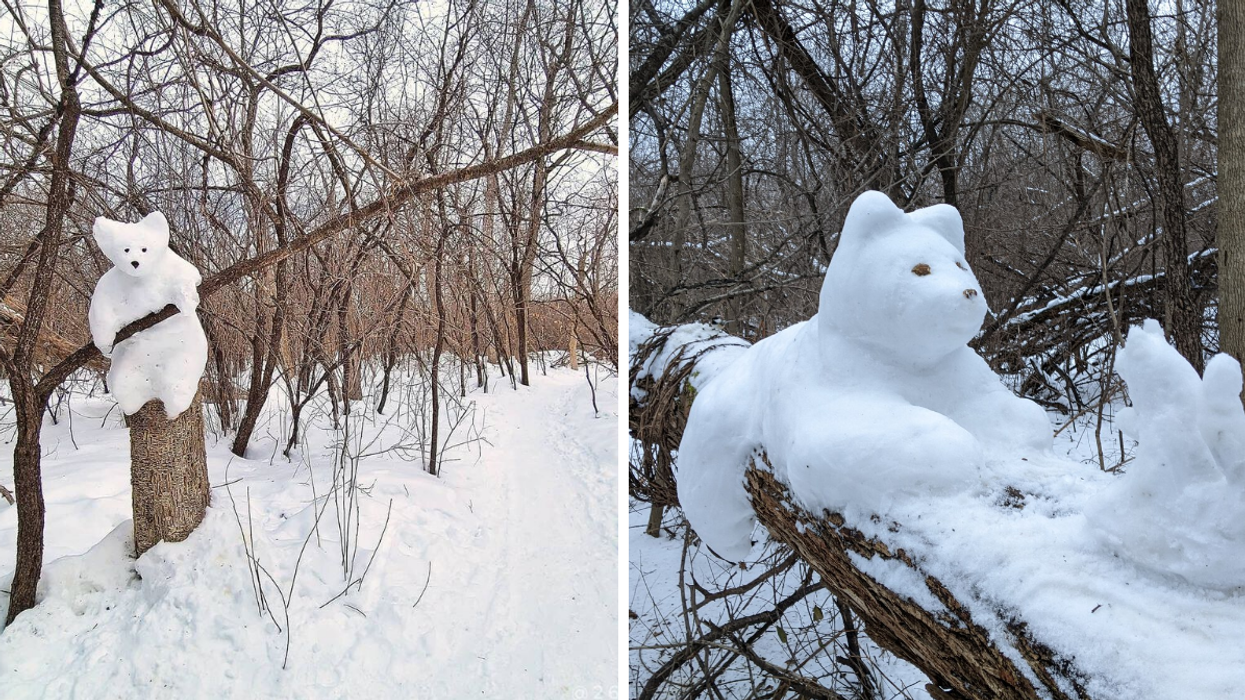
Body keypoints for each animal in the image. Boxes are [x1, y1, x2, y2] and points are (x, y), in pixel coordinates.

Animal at [88, 211, 208, 419]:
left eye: (144, 249)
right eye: (126, 249)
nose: (135, 263)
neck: (141, 278)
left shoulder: (173, 267)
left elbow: (187, 276)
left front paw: (186, 300)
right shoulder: (111, 284)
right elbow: (102, 309)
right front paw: (104, 344)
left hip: (183, 356)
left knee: (179, 378)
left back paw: (175, 406)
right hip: (129, 364)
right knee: (124, 383)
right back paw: (132, 404)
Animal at [675, 190, 1052, 561]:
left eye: (960, 265)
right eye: (921, 269)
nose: (969, 292)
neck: (908, 363)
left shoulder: (954, 373)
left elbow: (992, 407)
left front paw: (1021, 426)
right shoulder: (838, 379)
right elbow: (863, 433)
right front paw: (956, 448)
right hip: (724, 421)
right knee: (709, 492)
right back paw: (730, 543)